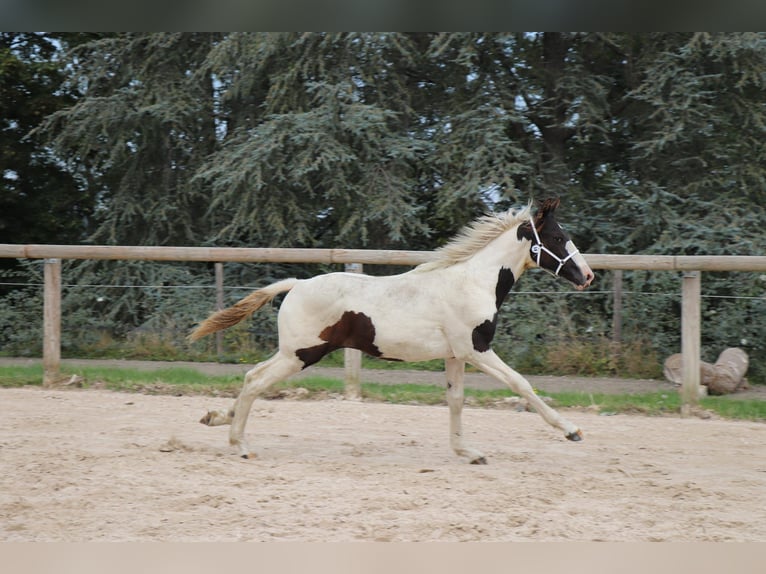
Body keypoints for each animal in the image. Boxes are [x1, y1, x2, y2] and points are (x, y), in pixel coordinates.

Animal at [189, 200, 596, 466]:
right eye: (557, 238)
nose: (588, 276)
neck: (472, 283)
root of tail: (296, 285)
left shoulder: (455, 354)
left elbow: (456, 400)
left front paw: (468, 453)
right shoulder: (476, 349)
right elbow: (521, 384)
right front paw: (572, 430)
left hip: (294, 352)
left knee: (250, 376)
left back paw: (216, 418)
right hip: (302, 354)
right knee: (257, 383)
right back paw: (240, 445)